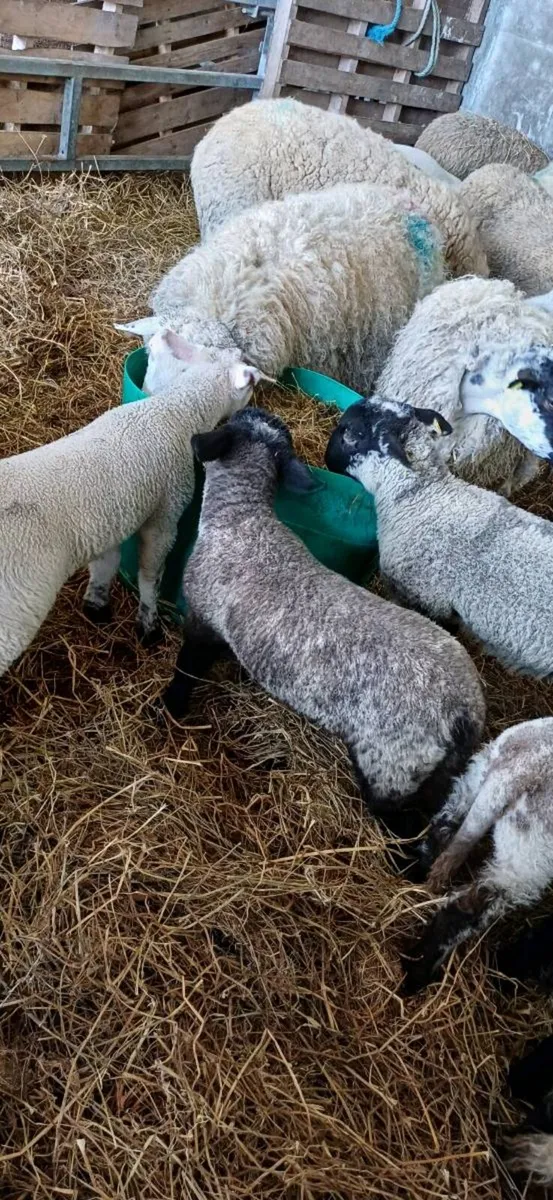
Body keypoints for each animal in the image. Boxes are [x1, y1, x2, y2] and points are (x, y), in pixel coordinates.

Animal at [0, 345, 262, 676]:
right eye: (250, 382)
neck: (176, 412)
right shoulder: (165, 513)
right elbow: (150, 574)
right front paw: (148, 627)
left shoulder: (107, 522)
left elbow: (105, 565)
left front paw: (96, 607)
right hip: (11, 617)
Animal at [157, 405, 485, 844]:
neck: (242, 517)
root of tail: (467, 714)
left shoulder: (202, 616)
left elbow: (187, 668)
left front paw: (169, 708)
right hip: (436, 771)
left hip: (393, 764)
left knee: (399, 821)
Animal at [394, 718, 553, 993]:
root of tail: (518, 772)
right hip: (528, 860)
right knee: (465, 910)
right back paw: (417, 973)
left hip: (477, 773)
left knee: (445, 822)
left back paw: (416, 871)